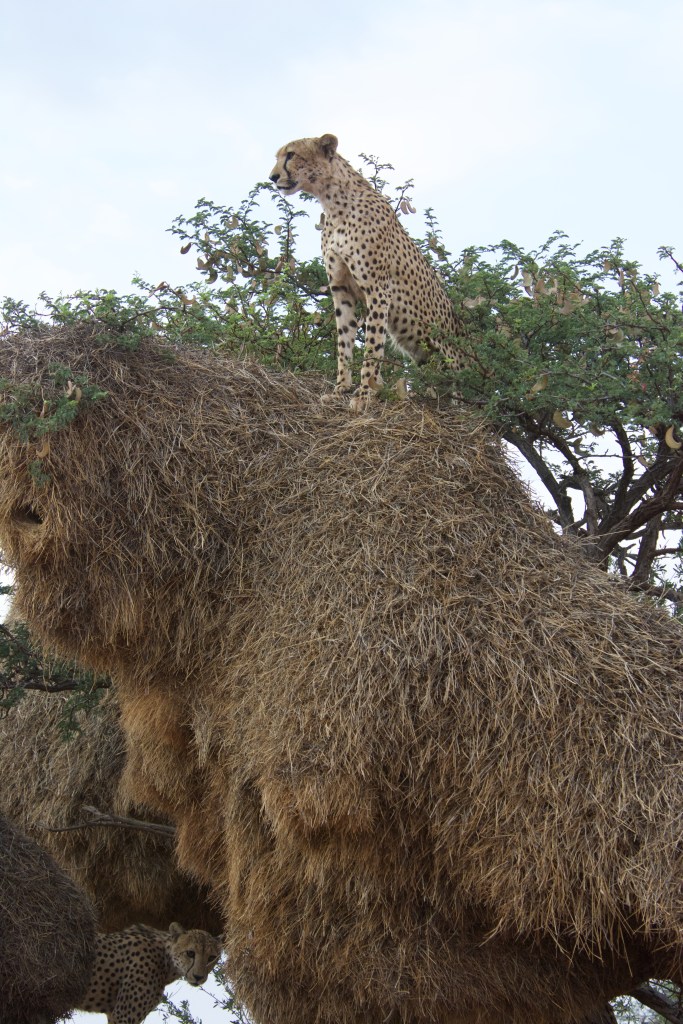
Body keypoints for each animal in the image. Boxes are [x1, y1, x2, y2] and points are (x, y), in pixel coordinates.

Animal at [270, 133, 468, 412]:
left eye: (290, 155)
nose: (272, 177)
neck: (333, 203)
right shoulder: (341, 289)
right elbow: (344, 343)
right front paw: (340, 389)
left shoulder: (378, 290)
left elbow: (373, 347)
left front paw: (365, 394)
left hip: (452, 360)